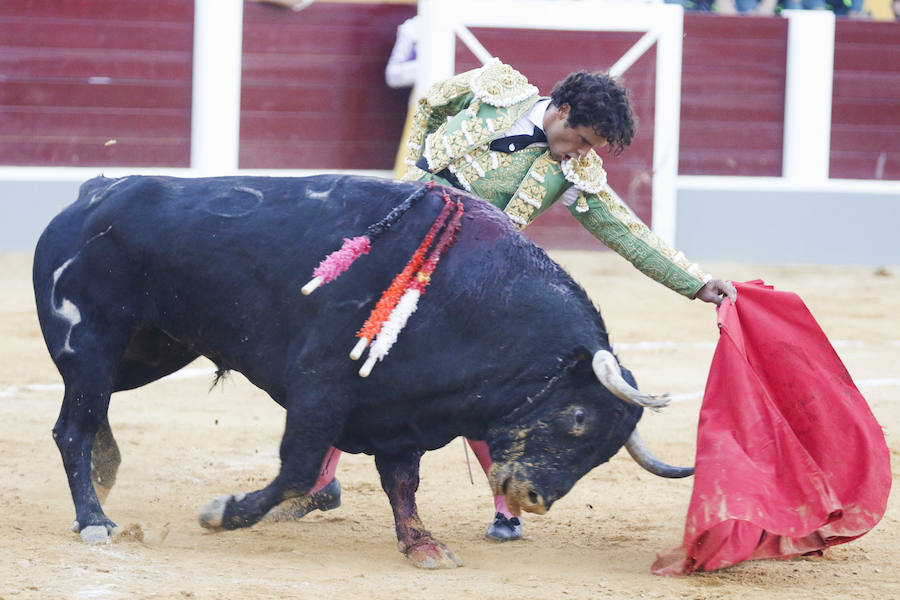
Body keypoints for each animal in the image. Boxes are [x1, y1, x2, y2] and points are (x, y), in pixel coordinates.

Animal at [29, 173, 688, 568]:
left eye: (604, 452)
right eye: (577, 418)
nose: (533, 496)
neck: (472, 296)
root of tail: (92, 195)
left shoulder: (402, 410)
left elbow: (402, 483)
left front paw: (422, 546)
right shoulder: (321, 387)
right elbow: (297, 470)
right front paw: (222, 513)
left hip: (151, 350)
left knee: (90, 414)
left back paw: (106, 470)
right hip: (90, 342)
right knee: (71, 425)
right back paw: (95, 520)